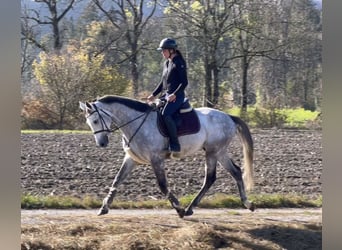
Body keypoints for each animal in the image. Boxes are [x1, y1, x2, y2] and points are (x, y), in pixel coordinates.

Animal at [79, 94, 254, 218]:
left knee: (210, 178)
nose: (101, 143)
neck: (135, 122)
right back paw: (247, 203)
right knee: (236, 171)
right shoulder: (131, 159)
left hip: (212, 152)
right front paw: (104, 207)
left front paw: (179, 208)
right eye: (88, 122)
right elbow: (117, 180)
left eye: (95, 120)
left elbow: (163, 186)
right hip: (220, 152)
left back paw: (189, 208)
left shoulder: (156, 159)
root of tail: (229, 117)